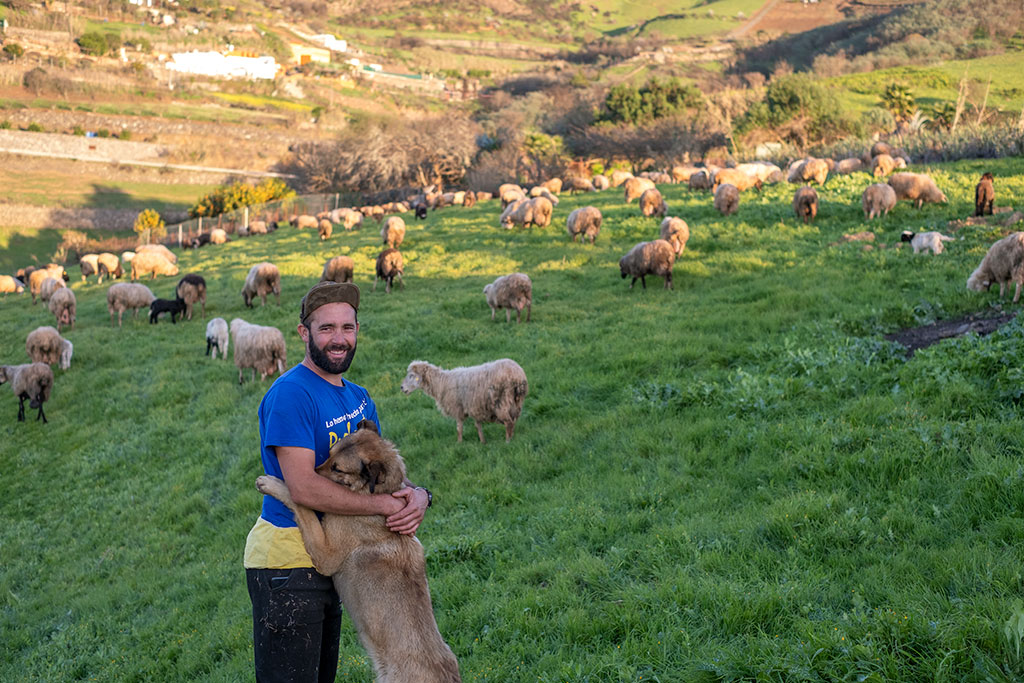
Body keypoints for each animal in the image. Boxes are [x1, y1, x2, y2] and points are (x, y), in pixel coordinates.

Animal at [399, 358, 528, 444]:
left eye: (412, 375)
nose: (401, 387)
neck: (442, 383)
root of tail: (517, 374)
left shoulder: (458, 407)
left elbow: (459, 428)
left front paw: (459, 443)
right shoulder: (475, 406)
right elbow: (478, 426)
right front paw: (483, 442)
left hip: (501, 401)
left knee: (509, 422)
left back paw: (507, 442)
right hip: (516, 402)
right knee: (513, 421)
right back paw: (512, 438)